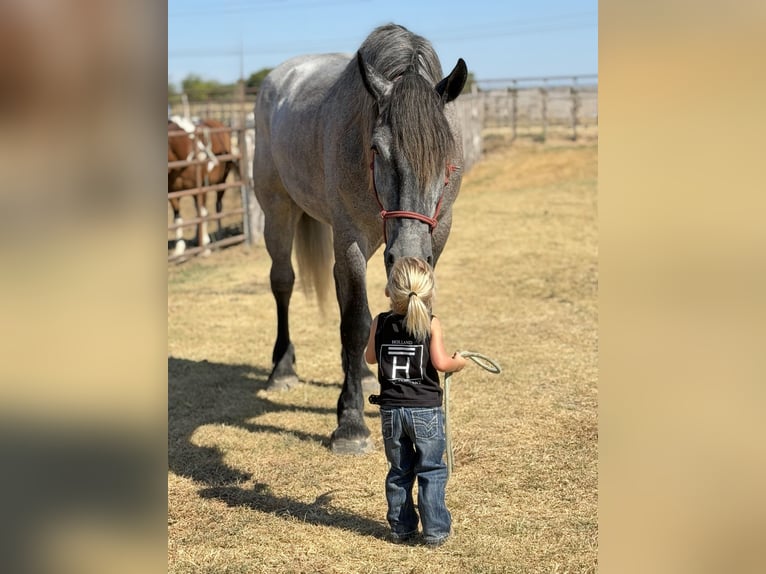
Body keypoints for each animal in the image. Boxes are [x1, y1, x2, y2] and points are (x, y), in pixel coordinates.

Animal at [168, 118, 237, 256]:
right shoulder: (173, 193)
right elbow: (178, 218)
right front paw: (179, 249)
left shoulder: (201, 189)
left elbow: (202, 213)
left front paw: (205, 246)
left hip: (221, 182)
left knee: (218, 206)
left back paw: (219, 235)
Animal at [253, 23, 467, 454]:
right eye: (377, 149)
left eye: (446, 153)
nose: (407, 256)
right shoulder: (349, 239)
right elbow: (354, 323)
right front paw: (350, 423)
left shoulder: (436, 237)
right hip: (278, 211)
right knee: (283, 281)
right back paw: (282, 369)